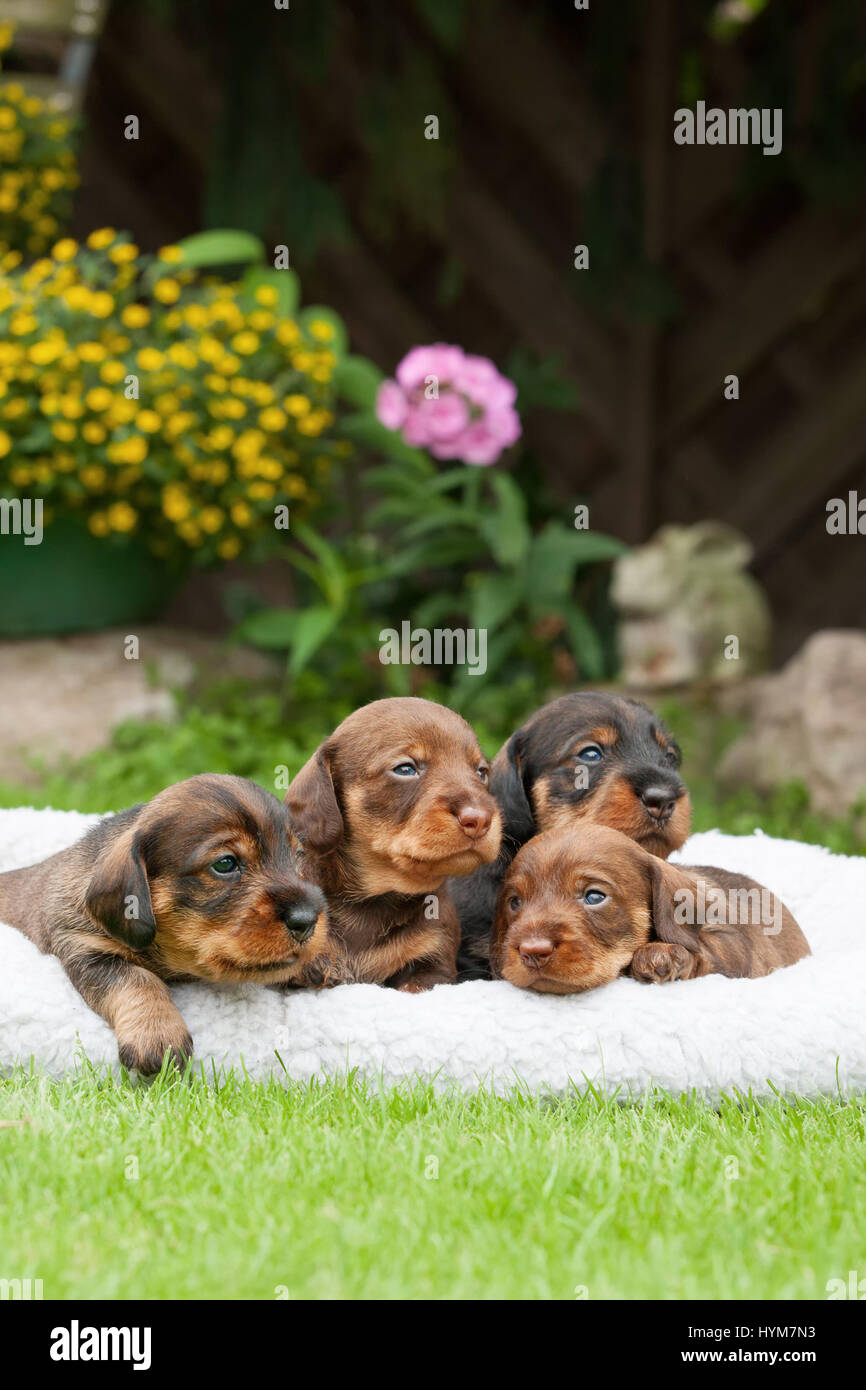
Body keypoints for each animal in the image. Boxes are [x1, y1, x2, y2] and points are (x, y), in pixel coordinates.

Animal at [0, 772, 332, 1073]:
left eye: (298, 856)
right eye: (225, 863)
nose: (307, 920)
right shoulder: (85, 947)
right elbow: (138, 979)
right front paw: (157, 1032)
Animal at [492, 817, 811, 995]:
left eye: (594, 897)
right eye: (515, 902)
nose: (532, 951)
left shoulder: (734, 945)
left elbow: (709, 952)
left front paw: (664, 954)